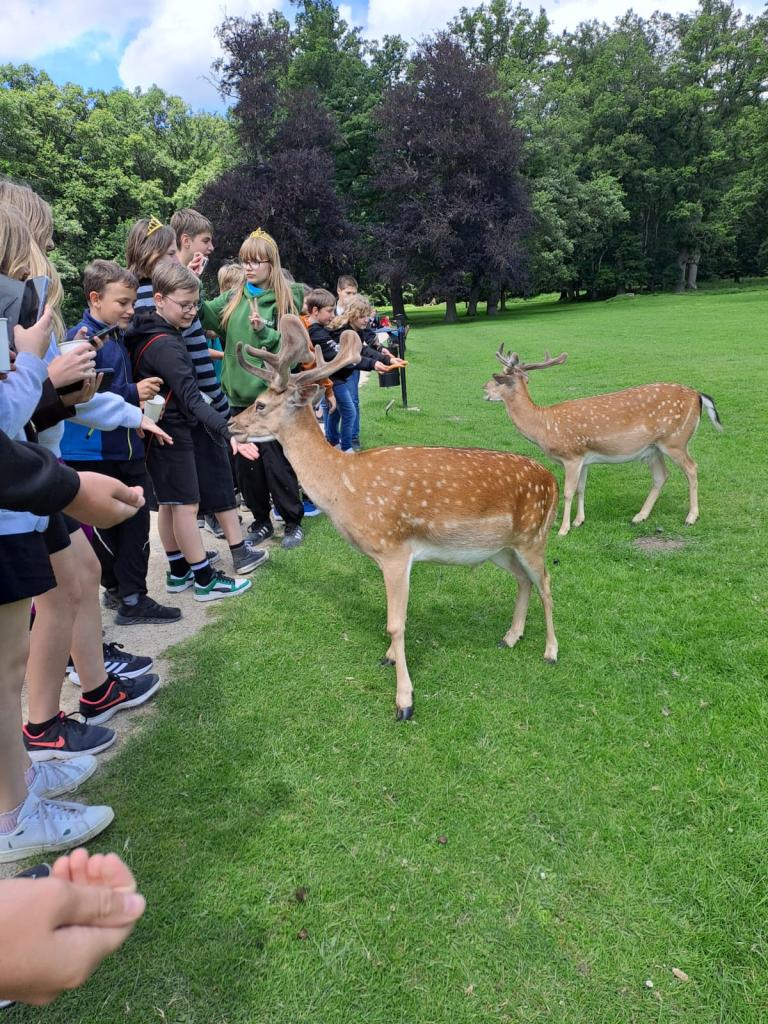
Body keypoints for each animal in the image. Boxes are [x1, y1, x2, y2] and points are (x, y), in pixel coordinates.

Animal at [228, 315, 560, 722]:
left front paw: (404, 700)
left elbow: (395, 624)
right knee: (524, 580)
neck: (344, 487)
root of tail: (551, 480)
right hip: (500, 548)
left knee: (546, 583)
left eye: (260, 404)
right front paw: (389, 661)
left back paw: (550, 651)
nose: (230, 424)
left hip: (534, 535)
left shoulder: (394, 550)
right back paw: (510, 637)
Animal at [484, 346, 723, 537]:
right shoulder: (584, 458)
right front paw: (579, 521)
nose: (483, 389)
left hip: (675, 440)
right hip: (653, 449)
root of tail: (698, 396)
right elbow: (581, 488)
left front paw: (563, 529)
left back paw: (691, 517)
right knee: (661, 476)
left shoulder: (571, 455)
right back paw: (640, 516)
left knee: (691, 468)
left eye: (498, 379)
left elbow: (568, 491)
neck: (544, 426)